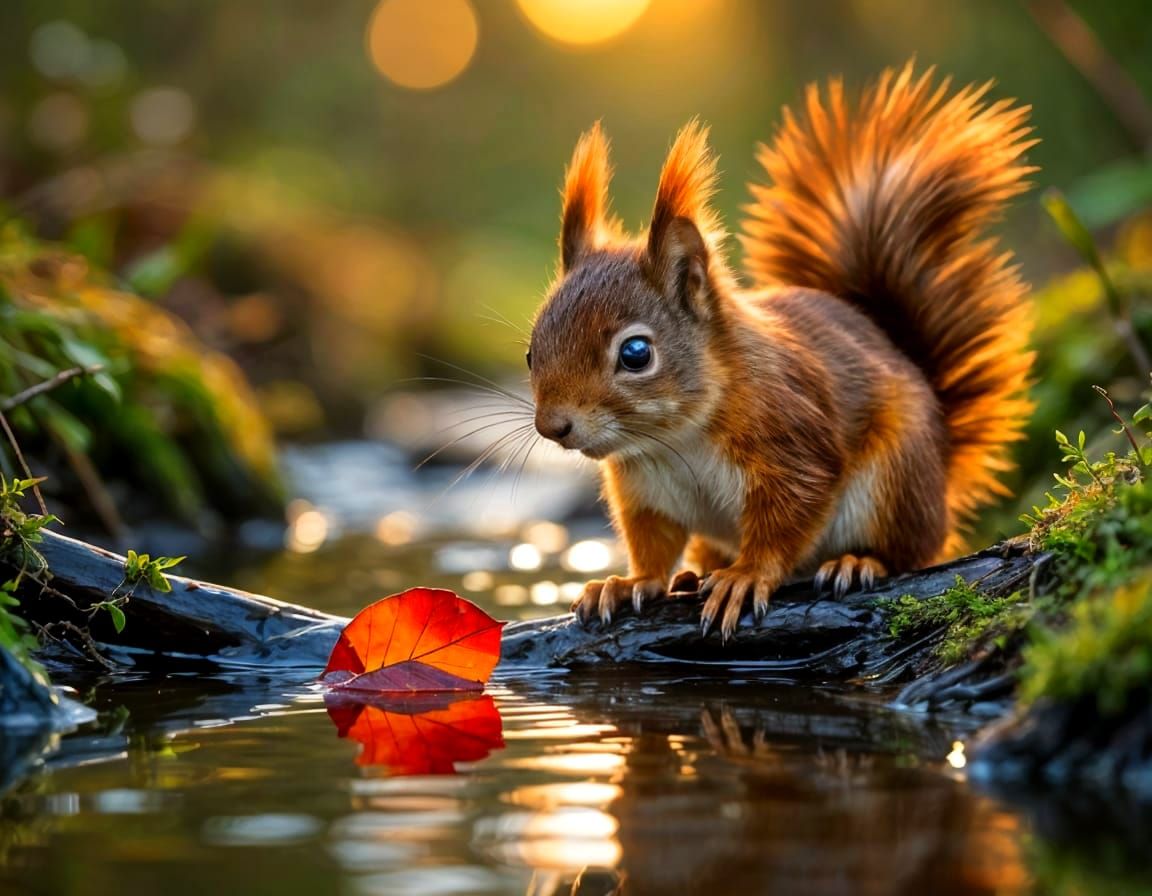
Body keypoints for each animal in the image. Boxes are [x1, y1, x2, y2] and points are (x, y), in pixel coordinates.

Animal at [526, 63, 1036, 639]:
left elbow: (789, 516)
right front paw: (633, 582)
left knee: (910, 551)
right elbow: (651, 541)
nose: (553, 426)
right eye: (531, 352)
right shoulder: (643, 489)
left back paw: (858, 561)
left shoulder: (793, 439)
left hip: (896, 483)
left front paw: (747, 575)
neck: (675, 439)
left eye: (636, 353)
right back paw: (694, 574)